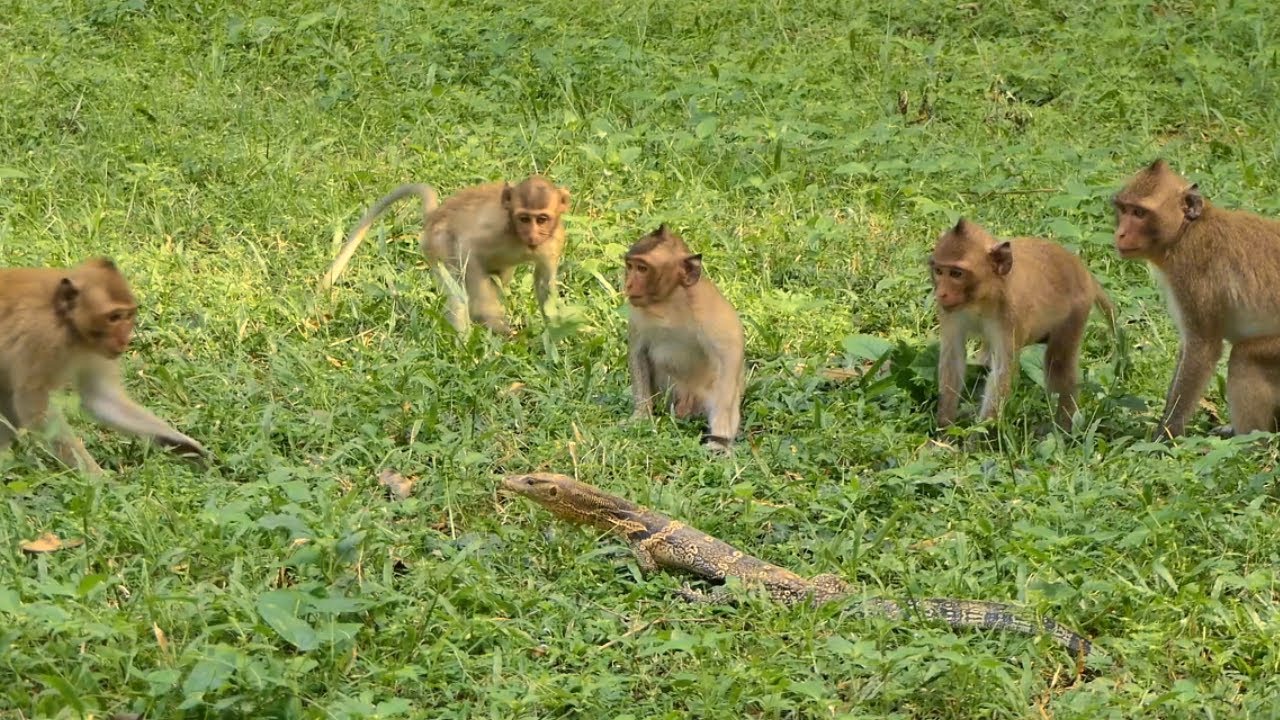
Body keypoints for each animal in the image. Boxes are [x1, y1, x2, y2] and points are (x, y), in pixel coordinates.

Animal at [0, 258, 209, 474]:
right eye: (114, 317)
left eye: (127, 315)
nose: (125, 339)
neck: (67, 323)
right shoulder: (42, 339)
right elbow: (34, 407)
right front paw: (97, 476)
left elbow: (101, 398)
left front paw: (186, 447)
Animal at [319, 175, 570, 335]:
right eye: (524, 218)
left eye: (542, 219)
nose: (532, 234)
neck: (520, 239)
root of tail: (433, 216)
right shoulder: (495, 230)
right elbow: (468, 248)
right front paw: (491, 320)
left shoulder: (555, 240)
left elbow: (544, 284)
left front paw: (555, 330)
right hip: (437, 245)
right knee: (458, 290)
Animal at [624, 224, 746, 452]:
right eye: (630, 266)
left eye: (642, 269)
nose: (627, 285)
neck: (669, 301)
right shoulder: (637, 313)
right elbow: (638, 352)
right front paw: (641, 417)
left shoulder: (708, 306)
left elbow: (729, 353)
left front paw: (720, 439)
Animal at [930, 218, 1115, 431]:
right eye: (939, 271)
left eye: (956, 274)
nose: (941, 293)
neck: (981, 299)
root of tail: (1081, 269)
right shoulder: (949, 312)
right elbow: (953, 359)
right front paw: (944, 427)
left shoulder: (1010, 315)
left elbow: (1002, 371)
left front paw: (980, 433)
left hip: (1078, 309)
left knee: (1059, 362)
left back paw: (1064, 429)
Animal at [1113, 159, 1280, 439]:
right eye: (1124, 209)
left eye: (1139, 213)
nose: (1120, 233)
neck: (1187, 231)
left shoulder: (1190, 271)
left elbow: (1202, 348)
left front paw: (1165, 436)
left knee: (1244, 357)